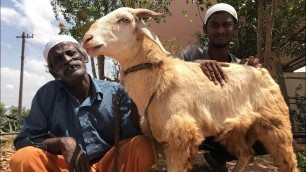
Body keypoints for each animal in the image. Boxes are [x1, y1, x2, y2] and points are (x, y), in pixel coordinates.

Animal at [82, 7, 298, 172]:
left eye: (125, 20)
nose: (87, 39)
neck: (160, 80)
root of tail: (263, 70)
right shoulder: (160, 139)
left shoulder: (180, 136)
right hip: (236, 127)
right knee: (247, 154)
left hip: (276, 123)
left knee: (288, 161)